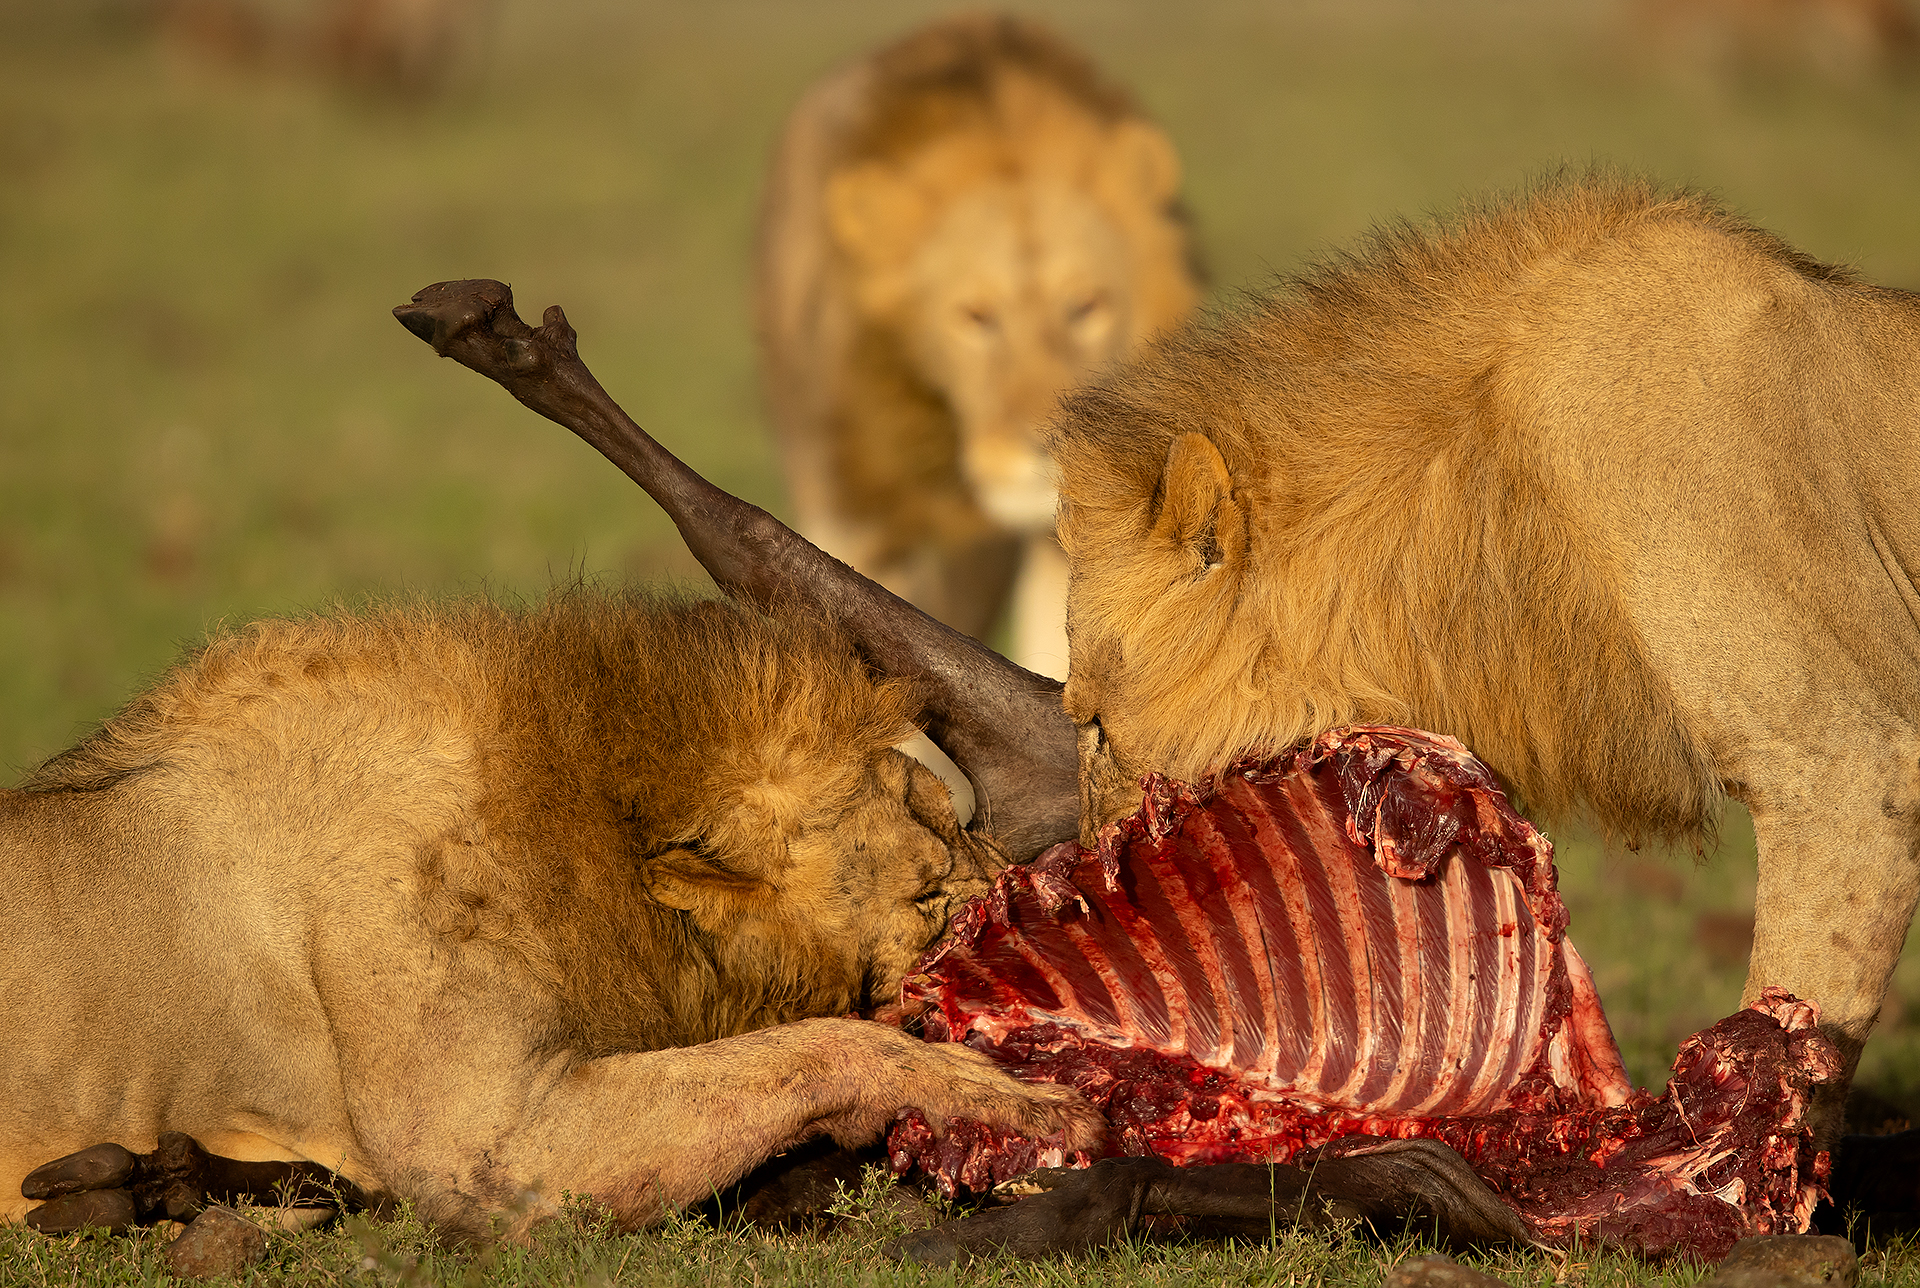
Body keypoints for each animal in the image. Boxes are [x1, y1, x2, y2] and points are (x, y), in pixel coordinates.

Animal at [1, 588, 1098, 1239]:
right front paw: (1019, 1098)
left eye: (955, 820)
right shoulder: (478, 1147)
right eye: (927, 886)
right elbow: (819, 1045)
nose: (1030, 880)